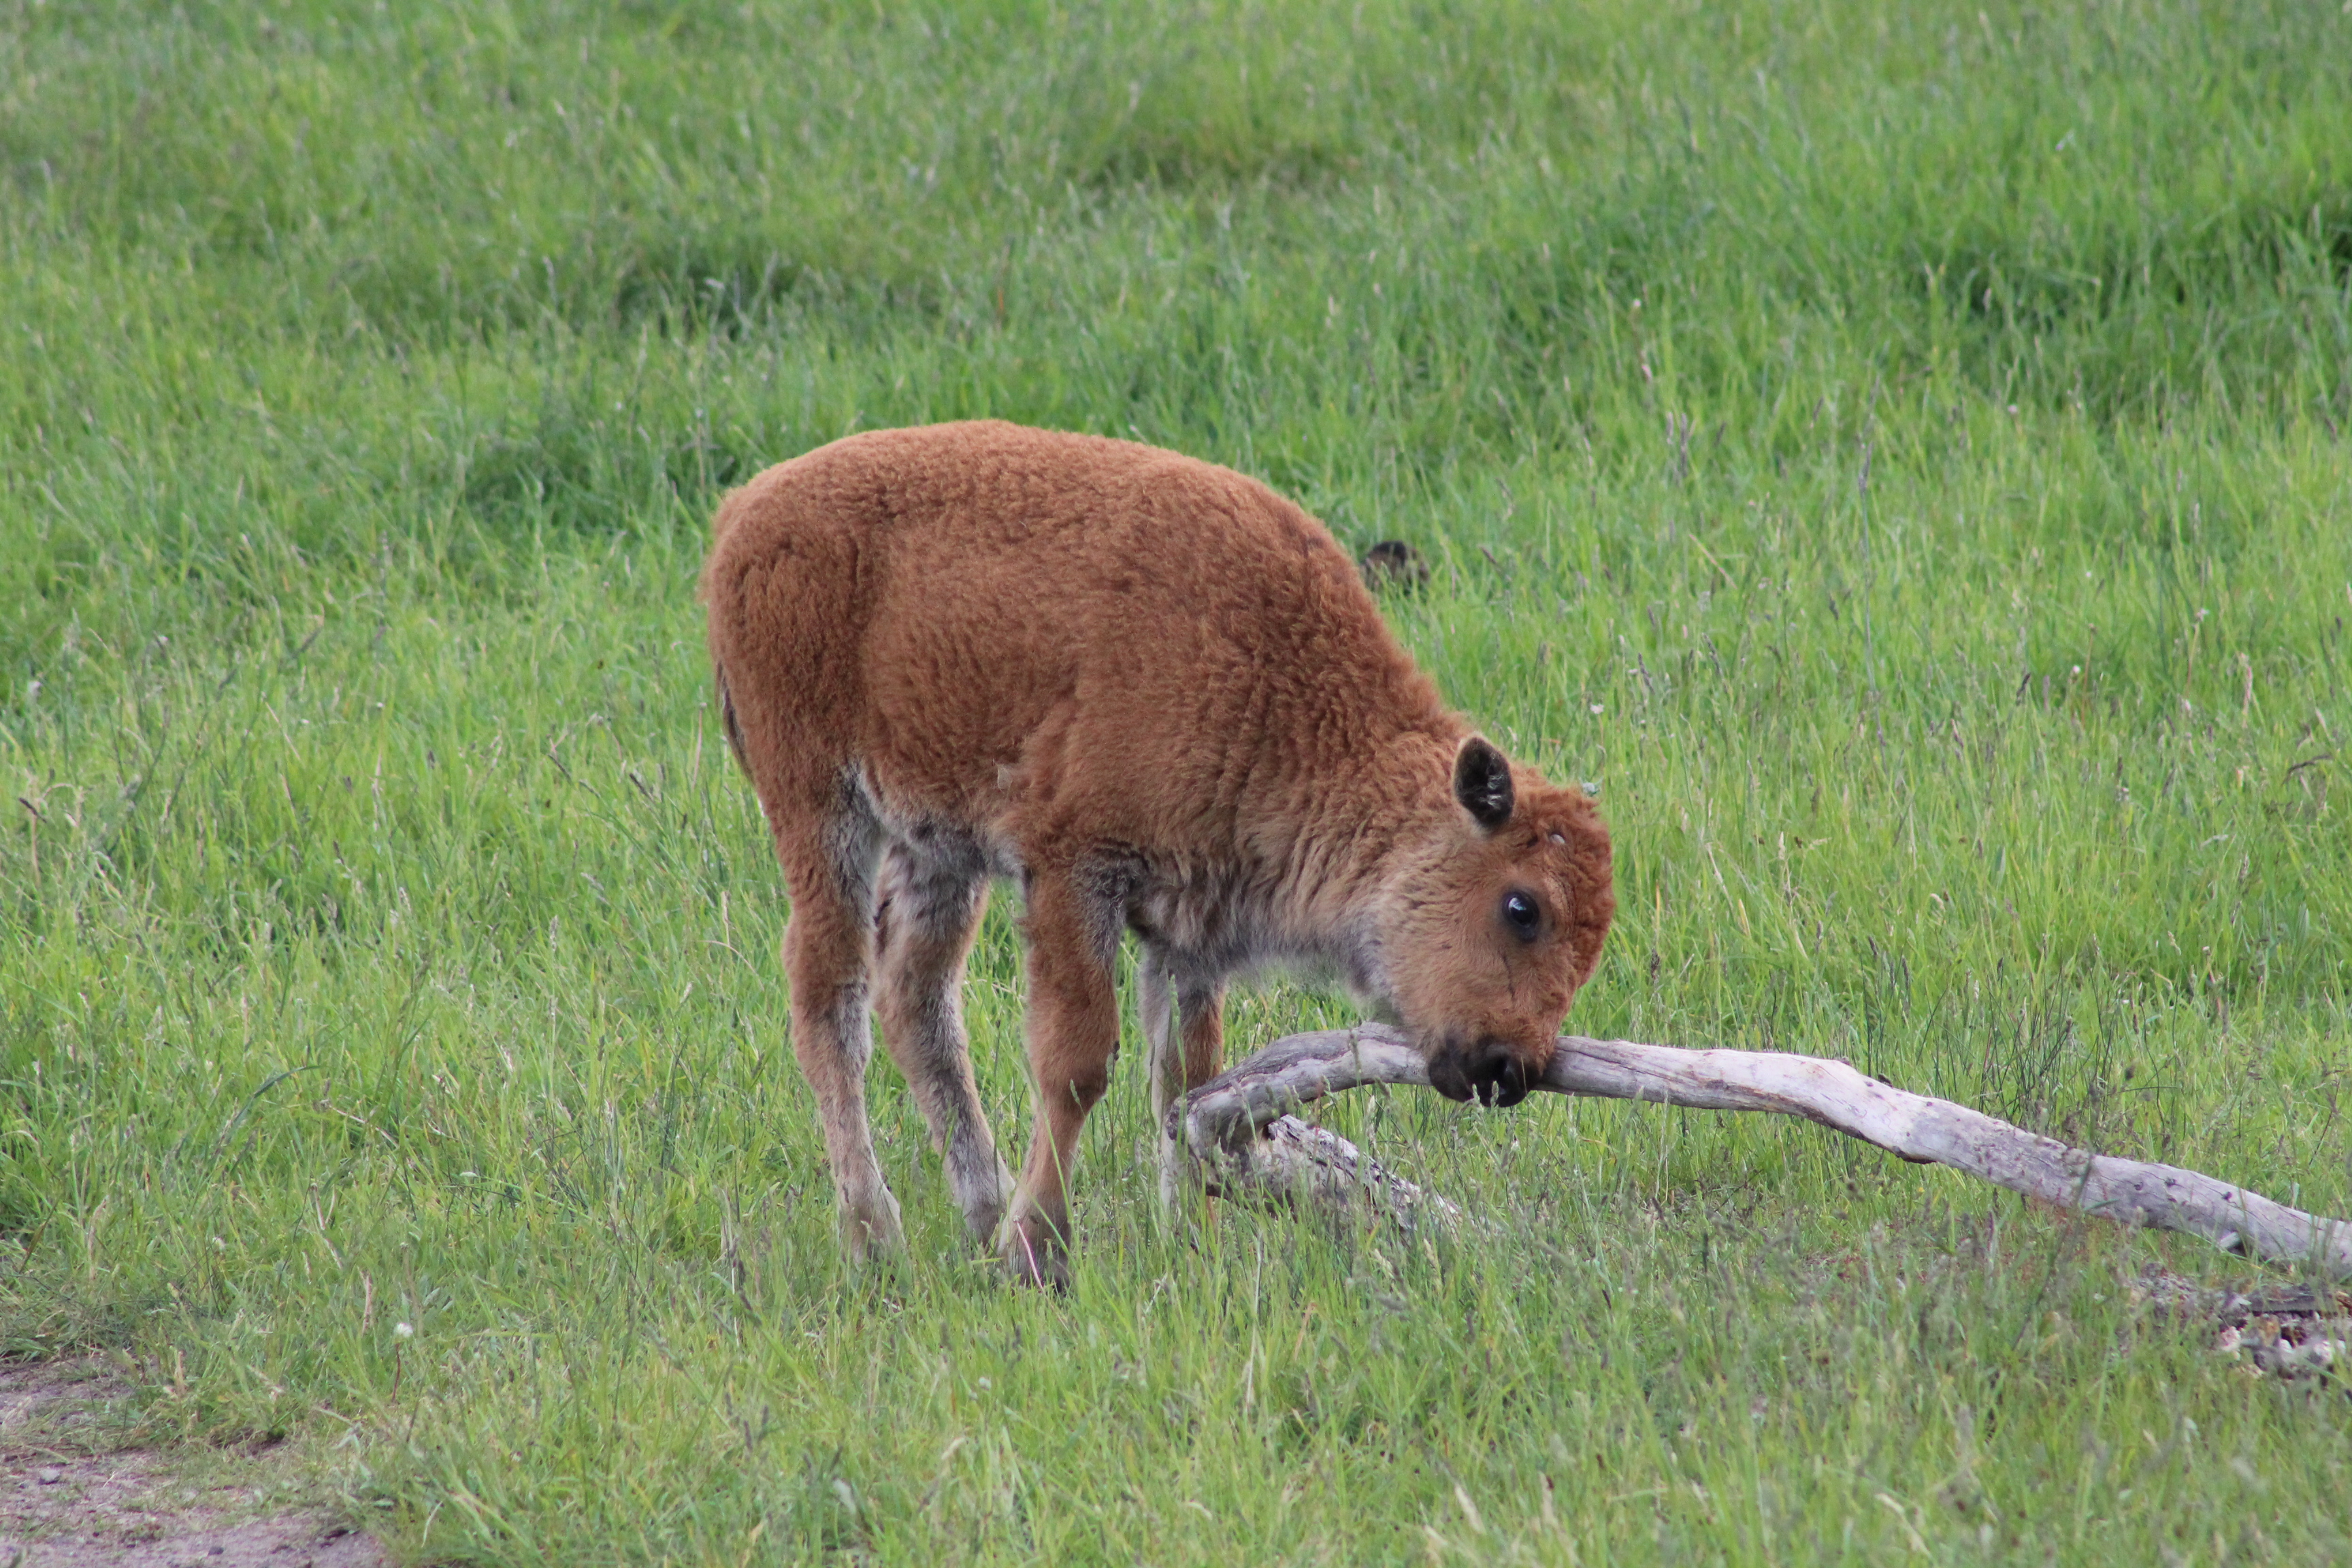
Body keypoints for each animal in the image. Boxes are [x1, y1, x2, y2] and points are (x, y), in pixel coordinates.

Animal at [700, 421, 1618, 1288]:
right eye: (1522, 906)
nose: (1510, 1069)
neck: (1281, 691)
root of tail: (744, 514)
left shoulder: (1187, 939)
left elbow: (1185, 1085)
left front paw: (1193, 1247)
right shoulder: (1075, 874)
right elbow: (1077, 1065)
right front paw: (1040, 1253)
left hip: (938, 848)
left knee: (917, 1002)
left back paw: (979, 1210)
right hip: (822, 810)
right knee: (830, 1003)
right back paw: (876, 1239)